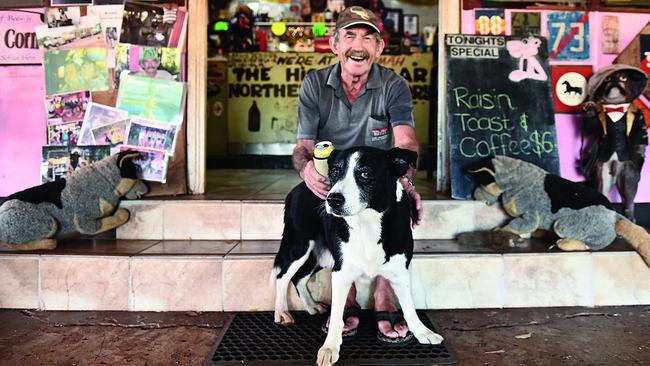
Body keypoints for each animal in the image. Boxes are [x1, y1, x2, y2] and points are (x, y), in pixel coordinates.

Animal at [270, 146, 442, 366]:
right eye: (335, 172)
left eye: (365, 174)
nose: (332, 200)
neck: (367, 222)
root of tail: (297, 188)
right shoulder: (341, 272)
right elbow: (337, 314)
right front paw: (329, 348)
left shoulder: (399, 270)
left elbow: (409, 306)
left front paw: (422, 332)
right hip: (299, 245)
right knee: (282, 276)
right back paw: (281, 312)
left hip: (322, 254)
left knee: (299, 277)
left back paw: (311, 306)